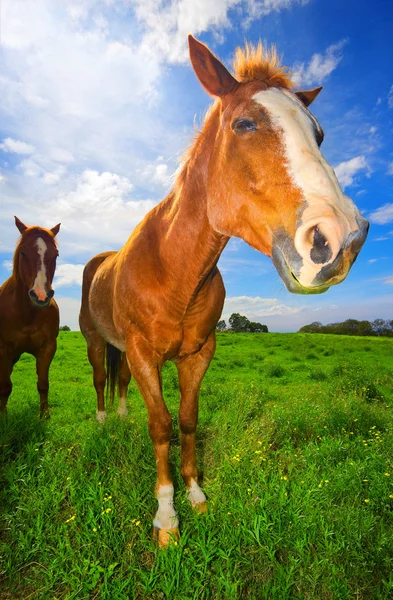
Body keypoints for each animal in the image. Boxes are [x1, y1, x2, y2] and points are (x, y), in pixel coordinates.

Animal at [0, 218, 60, 420]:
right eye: (23, 252)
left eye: (56, 254)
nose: (41, 295)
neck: (27, 314)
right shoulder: (4, 349)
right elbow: (5, 385)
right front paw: (3, 416)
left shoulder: (47, 348)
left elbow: (43, 384)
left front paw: (45, 416)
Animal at [79, 35, 368, 548]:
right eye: (243, 124)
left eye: (319, 134)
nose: (343, 239)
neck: (175, 269)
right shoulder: (143, 352)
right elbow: (161, 426)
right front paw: (167, 517)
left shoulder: (198, 354)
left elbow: (188, 420)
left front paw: (195, 494)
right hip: (98, 342)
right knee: (99, 379)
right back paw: (104, 423)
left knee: (120, 384)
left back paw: (122, 418)